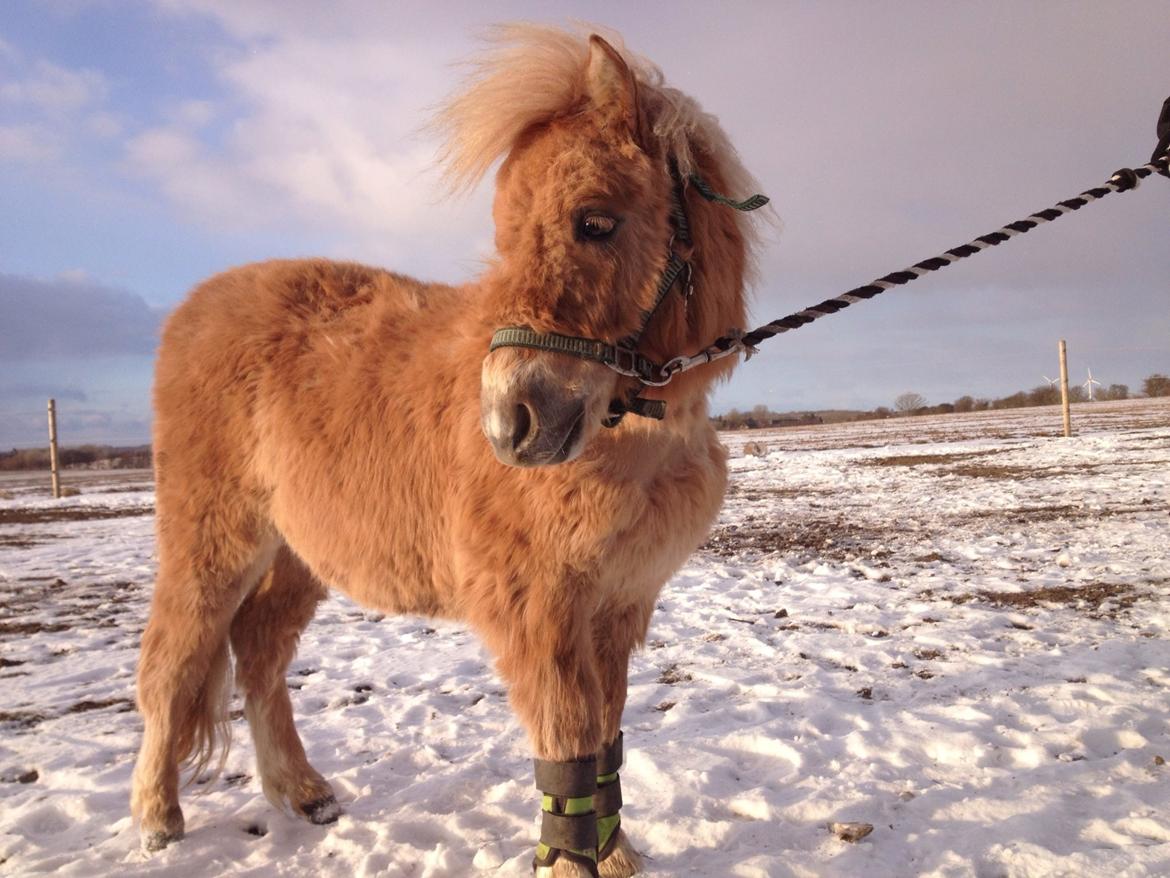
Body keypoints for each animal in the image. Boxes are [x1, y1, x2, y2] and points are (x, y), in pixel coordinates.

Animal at [130, 23, 767, 875]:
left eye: (596, 221)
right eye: (504, 236)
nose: (511, 423)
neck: (632, 438)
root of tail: (194, 309)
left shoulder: (617, 608)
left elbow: (603, 744)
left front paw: (616, 856)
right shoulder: (539, 612)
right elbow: (567, 744)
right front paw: (571, 860)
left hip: (297, 554)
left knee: (259, 655)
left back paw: (303, 792)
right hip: (213, 540)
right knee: (173, 660)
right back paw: (156, 817)